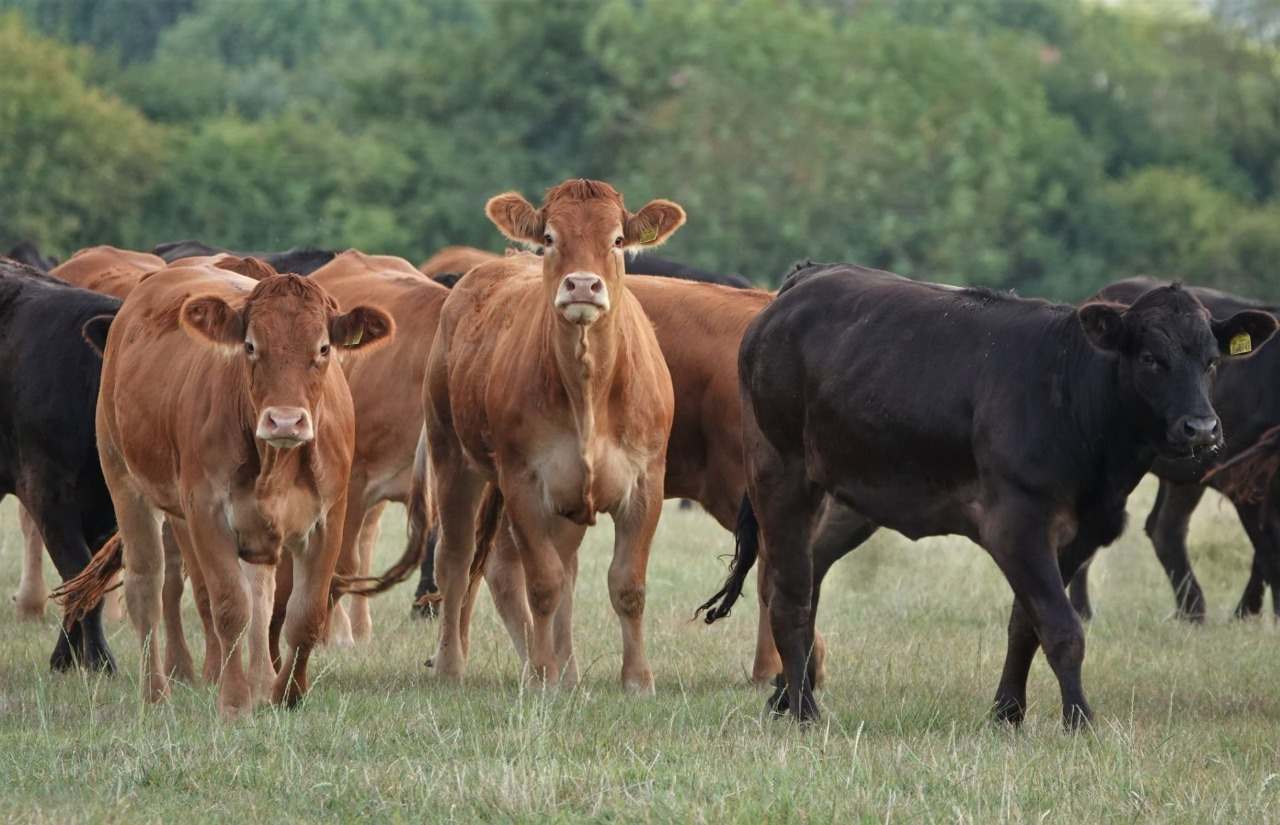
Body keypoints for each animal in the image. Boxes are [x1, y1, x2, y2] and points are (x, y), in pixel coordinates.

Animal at [57, 260, 392, 718]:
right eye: (250, 346)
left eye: (323, 348)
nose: (285, 421)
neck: (275, 462)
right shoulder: (207, 513)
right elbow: (230, 607)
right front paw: (234, 702)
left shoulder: (329, 519)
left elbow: (303, 613)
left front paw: (286, 694)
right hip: (125, 481)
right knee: (147, 585)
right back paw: (156, 692)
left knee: (262, 596)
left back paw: (261, 681)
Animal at [424, 179, 679, 690]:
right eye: (549, 239)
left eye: (617, 240)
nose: (582, 285)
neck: (588, 391)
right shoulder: (523, 481)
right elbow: (542, 582)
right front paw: (542, 674)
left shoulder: (647, 483)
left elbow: (627, 585)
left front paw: (637, 679)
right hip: (452, 458)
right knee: (457, 560)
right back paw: (452, 665)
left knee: (567, 570)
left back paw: (569, 670)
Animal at [1068, 277, 1280, 622]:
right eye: (1150, 359)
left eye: (1213, 361)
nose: (1203, 428)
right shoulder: (1245, 478)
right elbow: (1270, 545)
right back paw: (1083, 611)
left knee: (1165, 528)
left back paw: (1192, 613)